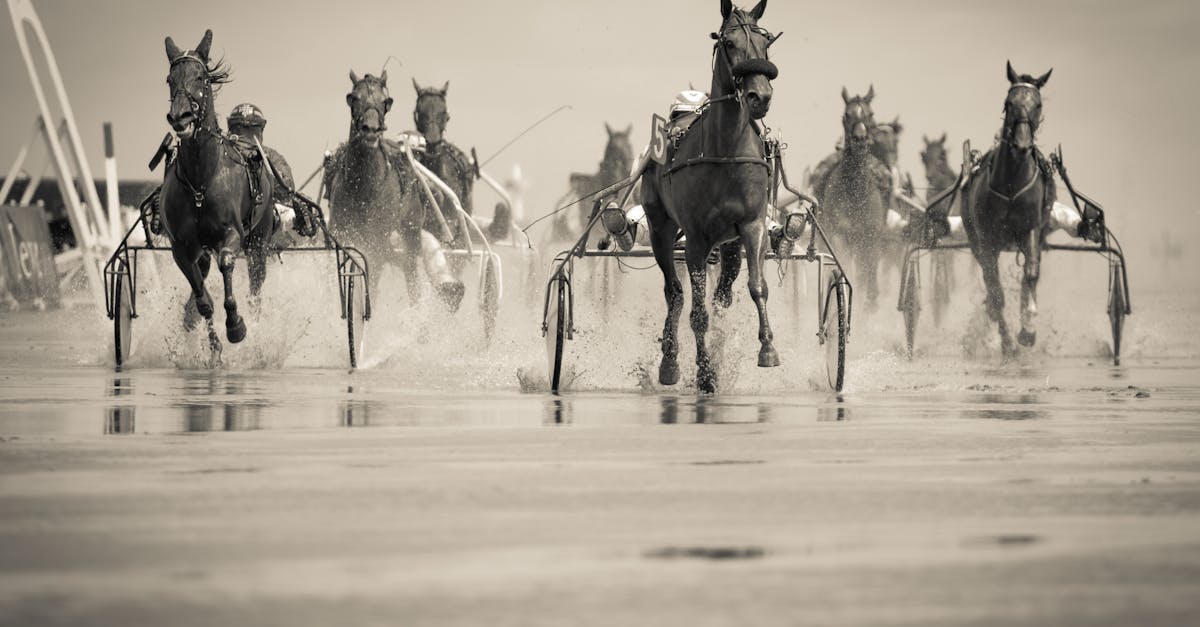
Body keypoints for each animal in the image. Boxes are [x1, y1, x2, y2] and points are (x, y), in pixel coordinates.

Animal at [160, 29, 275, 352]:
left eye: (202, 78)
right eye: (170, 79)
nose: (181, 117)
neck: (201, 180)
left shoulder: (232, 234)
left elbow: (227, 264)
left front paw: (236, 325)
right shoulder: (182, 248)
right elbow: (203, 301)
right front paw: (214, 348)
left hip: (259, 242)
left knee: (255, 288)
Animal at [324, 71, 464, 310]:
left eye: (385, 101)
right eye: (354, 98)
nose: (370, 129)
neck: (363, 187)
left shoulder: (376, 241)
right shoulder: (342, 232)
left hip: (410, 232)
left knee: (410, 271)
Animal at [640, 0, 780, 393]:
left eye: (766, 43)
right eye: (729, 42)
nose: (760, 96)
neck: (726, 151)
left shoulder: (752, 225)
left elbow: (757, 287)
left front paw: (767, 348)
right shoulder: (696, 239)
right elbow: (697, 311)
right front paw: (704, 372)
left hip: (728, 242)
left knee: (723, 291)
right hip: (660, 228)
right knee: (674, 293)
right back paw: (670, 362)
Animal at [817, 86, 892, 309]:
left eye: (870, 114)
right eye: (846, 115)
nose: (859, 139)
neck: (855, 194)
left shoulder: (871, 237)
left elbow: (870, 278)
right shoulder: (839, 236)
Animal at [961, 61, 1055, 355]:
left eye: (1038, 104)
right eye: (1009, 103)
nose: (1022, 144)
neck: (1012, 185)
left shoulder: (1031, 229)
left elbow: (1031, 275)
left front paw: (1028, 329)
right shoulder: (987, 239)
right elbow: (996, 291)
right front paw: (1008, 342)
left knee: (1029, 275)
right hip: (975, 241)